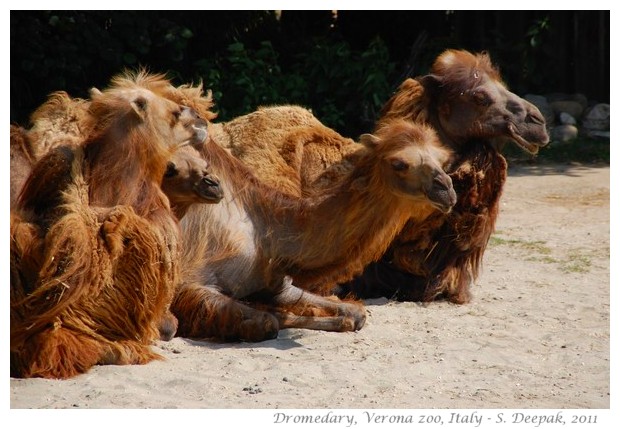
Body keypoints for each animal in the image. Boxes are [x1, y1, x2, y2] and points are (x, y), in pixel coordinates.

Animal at [171, 117, 456, 342]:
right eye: (399, 164)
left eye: (443, 161)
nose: (447, 189)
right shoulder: (193, 280)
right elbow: (266, 322)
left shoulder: (276, 283)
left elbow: (356, 313)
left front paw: (343, 318)